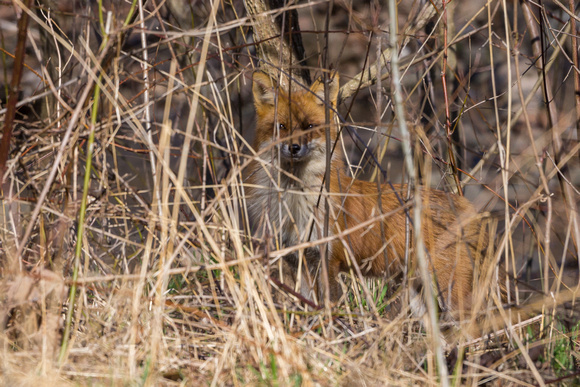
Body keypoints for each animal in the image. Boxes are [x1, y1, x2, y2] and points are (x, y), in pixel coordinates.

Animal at [245, 72, 494, 316]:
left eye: (309, 126)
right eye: (281, 126)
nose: (294, 148)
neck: (294, 201)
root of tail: (467, 205)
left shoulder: (329, 259)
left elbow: (329, 308)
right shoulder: (300, 260)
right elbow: (311, 307)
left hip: (451, 293)